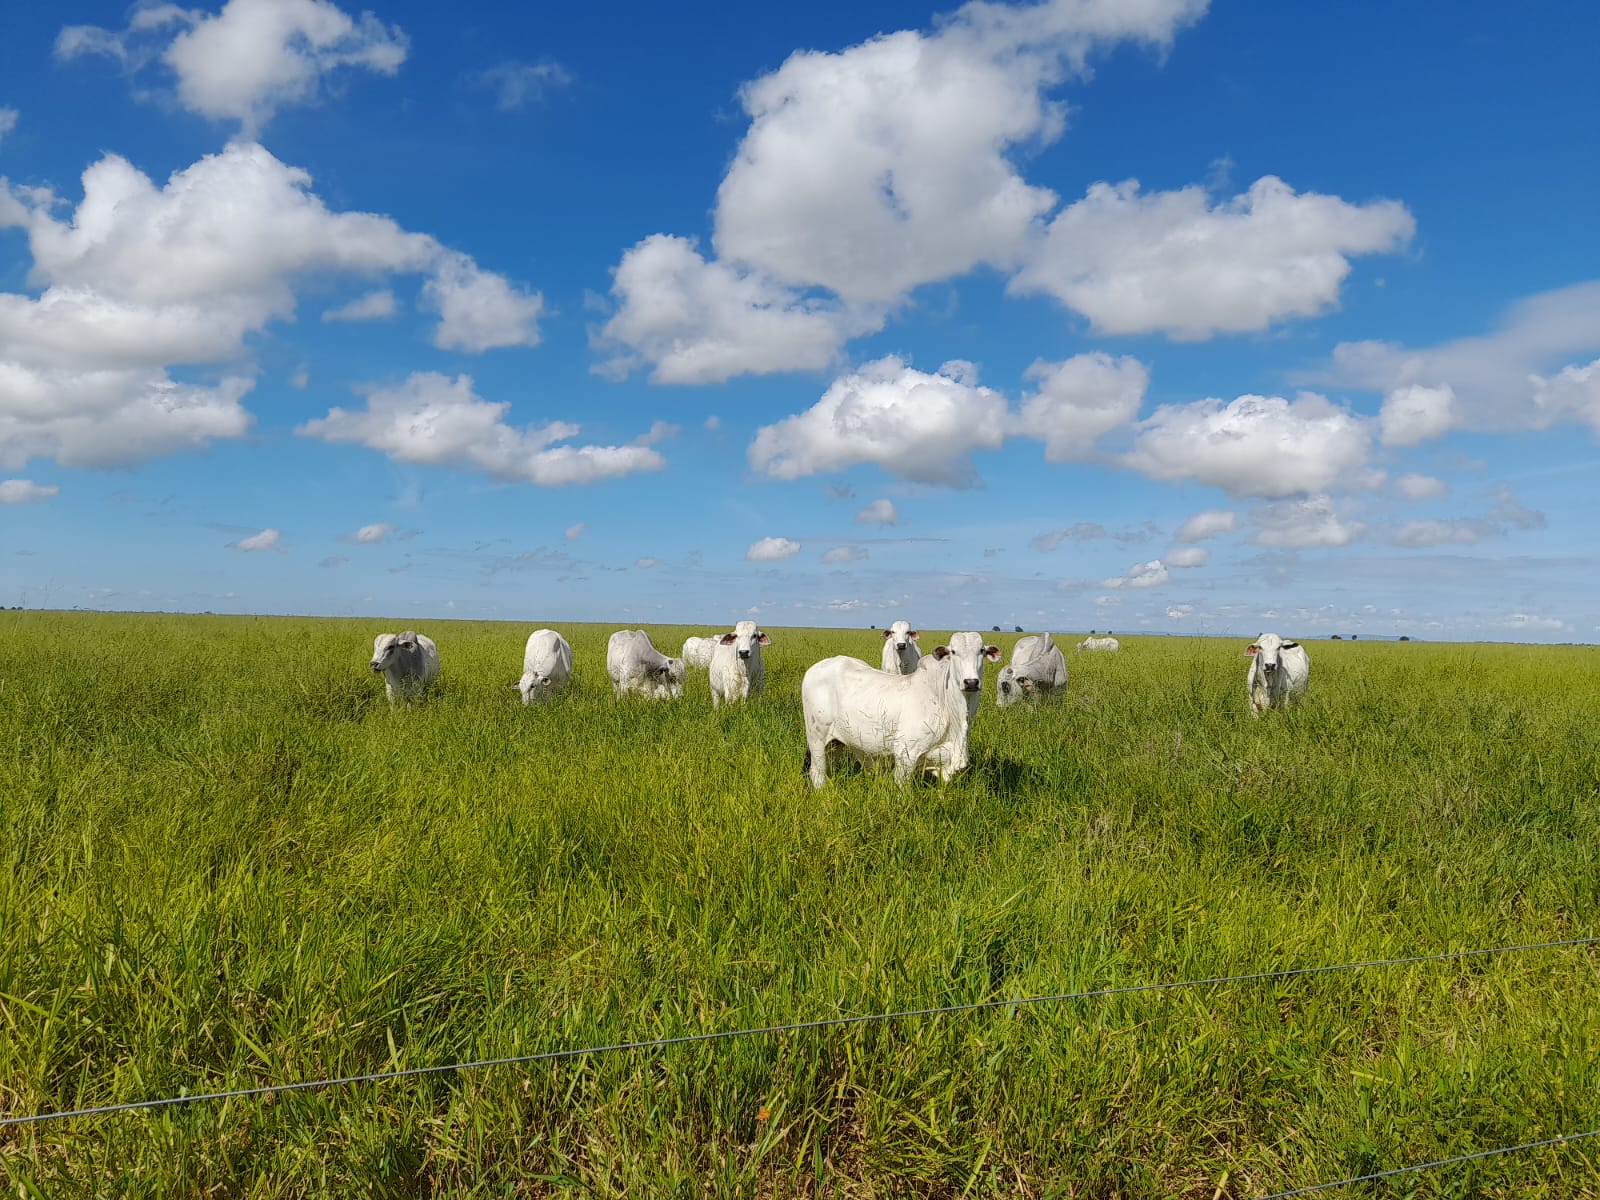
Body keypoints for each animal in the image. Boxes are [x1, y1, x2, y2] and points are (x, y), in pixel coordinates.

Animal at [800, 630, 998, 790]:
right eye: (954, 652)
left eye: (981, 651)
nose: (971, 682)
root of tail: (815, 668)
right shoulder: (905, 754)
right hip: (817, 738)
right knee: (817, 774)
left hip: (835, 743)